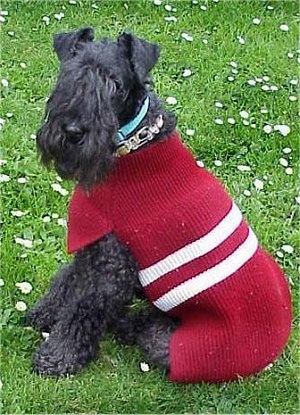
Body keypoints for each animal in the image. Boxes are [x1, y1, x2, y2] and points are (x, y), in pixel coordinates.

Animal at [28, 26, 290, 384]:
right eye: (68, 74)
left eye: (114, 84)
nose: (72, 131)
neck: (132, 145)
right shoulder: (95, 242)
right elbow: (68, 278)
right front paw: (43, 312)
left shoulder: (111, 266)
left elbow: (81, 310)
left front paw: (57, 357)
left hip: (174, 342)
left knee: (148, 328)